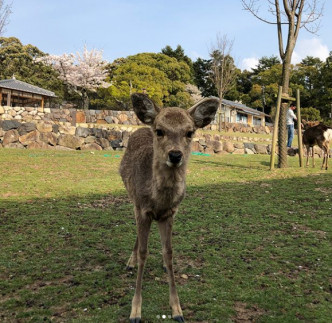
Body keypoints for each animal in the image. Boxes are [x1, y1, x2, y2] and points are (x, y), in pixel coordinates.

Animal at [118, 93, 218, 323]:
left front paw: (177, 310)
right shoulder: (143, 209)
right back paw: (130, 261)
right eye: (160, 130)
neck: (158, 200)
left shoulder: (170, 213)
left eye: (189, 132)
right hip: (132, 198)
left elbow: (169, 252)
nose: (175, 155)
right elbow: (144, 252)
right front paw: (135, 311)